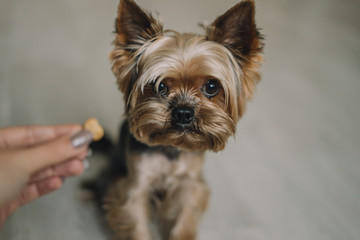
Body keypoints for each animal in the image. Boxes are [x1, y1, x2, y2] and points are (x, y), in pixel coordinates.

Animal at [84, 0, 264, 239]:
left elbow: (183, 219)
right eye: (160, 86)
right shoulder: (137, 184)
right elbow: (136, 222)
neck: (171, 147)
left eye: (211, 86)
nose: (183, 112)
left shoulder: (189, 184)